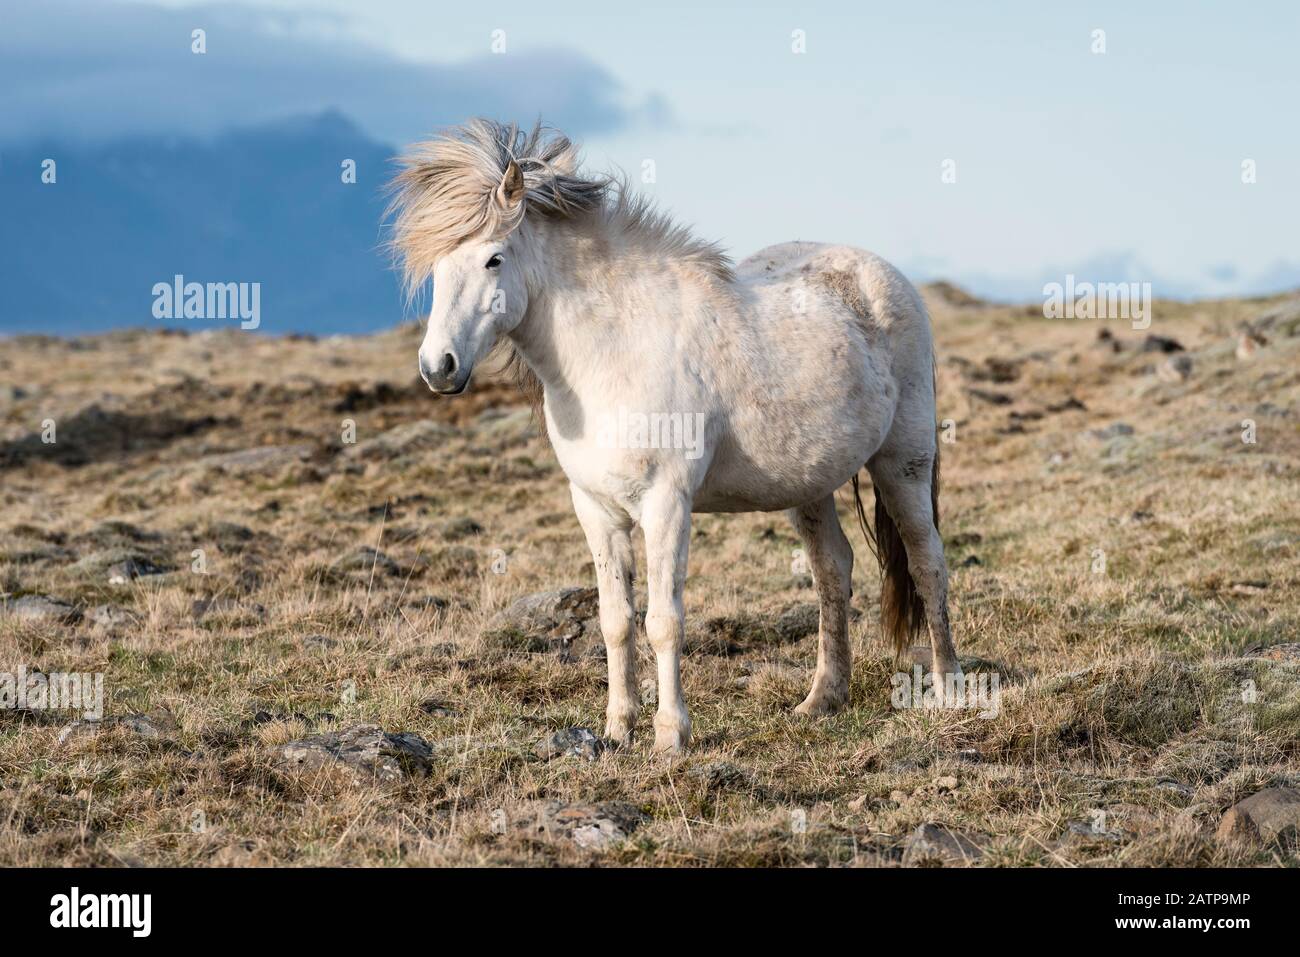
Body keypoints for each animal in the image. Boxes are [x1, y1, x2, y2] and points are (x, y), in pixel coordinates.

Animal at [389, 119, 962, 754]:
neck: (614, 350)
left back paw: (946, 689)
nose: (438, 367)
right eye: (437, 267)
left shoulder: (666, 504)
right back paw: (821, 700)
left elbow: (663, 620)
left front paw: (670, 735)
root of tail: (885, 277)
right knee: (833, 571)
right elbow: (615, 618)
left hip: (903, 461)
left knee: (927, 561)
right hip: (810, 485)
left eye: (494, 259)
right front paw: (617, 728)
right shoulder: (596, 509)